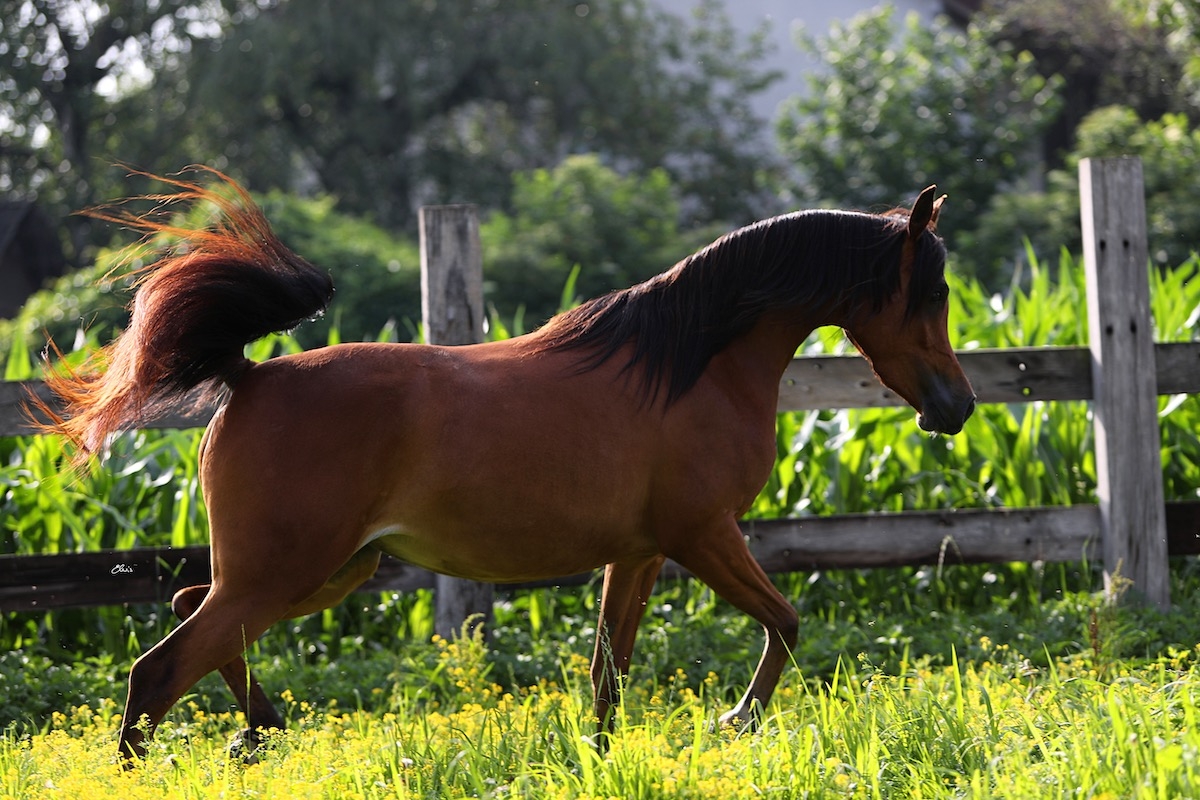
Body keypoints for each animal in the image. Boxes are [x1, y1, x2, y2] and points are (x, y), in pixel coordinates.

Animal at [32, 170, 975, 761]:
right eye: (933, 292)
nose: (957, 407)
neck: (690, 364)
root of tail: (248, 375)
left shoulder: (639, 553)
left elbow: (608, 674)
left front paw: (601, 759)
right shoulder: (704, 535)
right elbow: (786, 621)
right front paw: (734, 719)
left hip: (327, 569)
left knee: (192, 614)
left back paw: (258, 731)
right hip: (283, 573)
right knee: (160, 669)